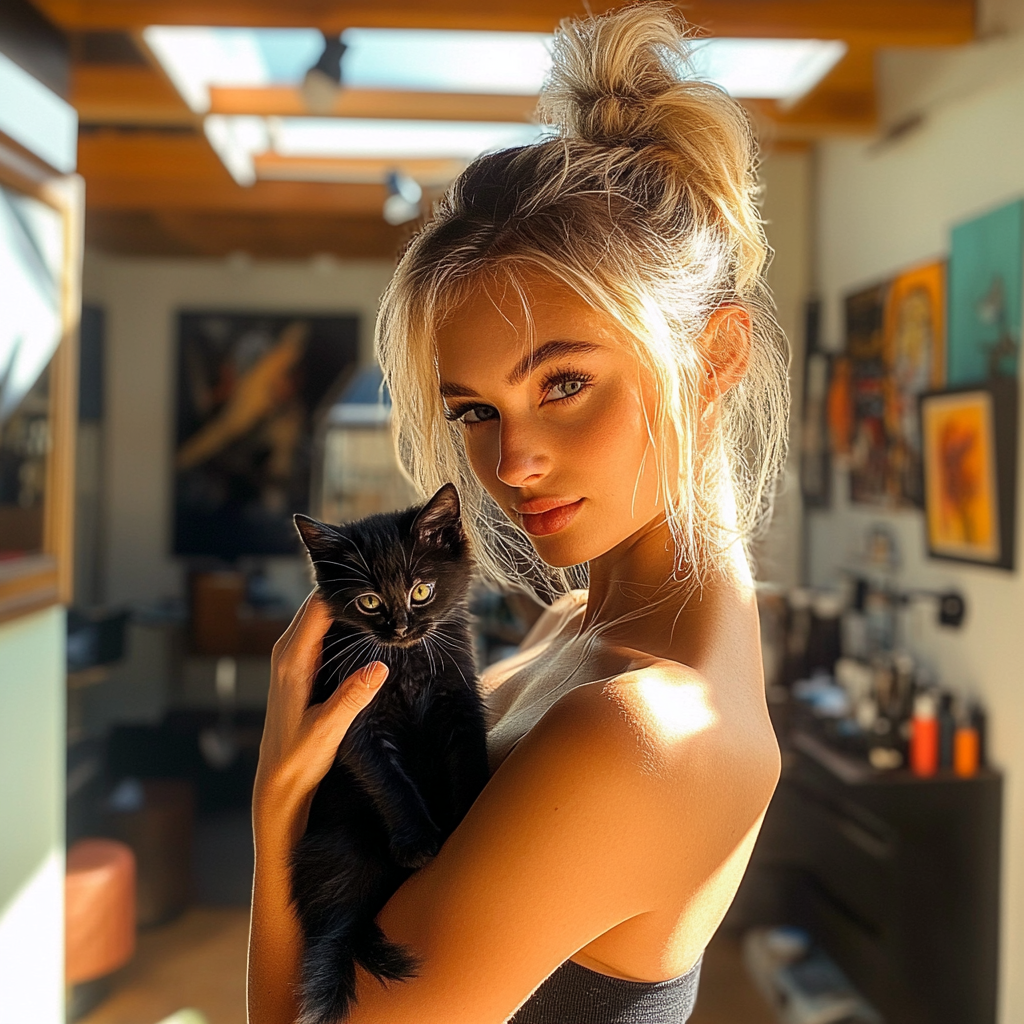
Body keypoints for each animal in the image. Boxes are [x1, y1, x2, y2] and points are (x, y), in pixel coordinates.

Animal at [290, 485, 489, 1024]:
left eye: (421, 590)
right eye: (369, 601)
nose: (400, 626)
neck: (407, 661)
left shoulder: (460, 698)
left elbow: (468, 760)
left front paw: (468, 812)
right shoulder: (352, 714)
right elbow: (387, 778)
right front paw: (417, 840)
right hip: (341, 843)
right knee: (334, 926)